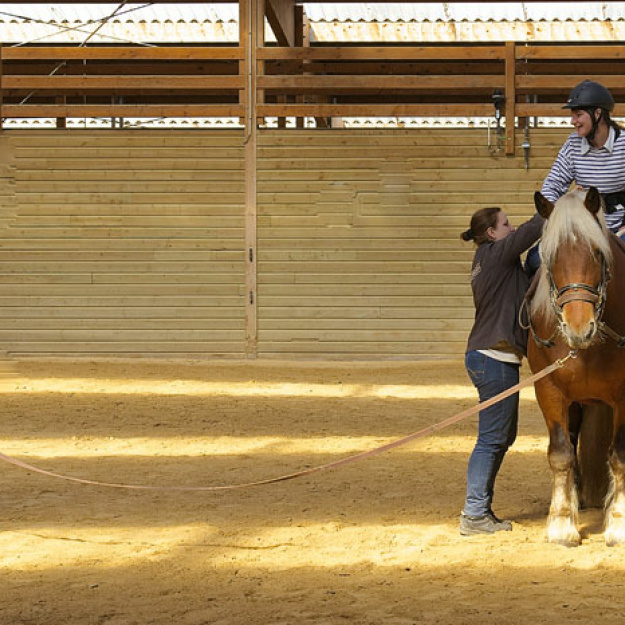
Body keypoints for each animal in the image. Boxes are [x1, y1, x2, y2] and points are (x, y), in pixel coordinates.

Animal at [528, 186, 625, 544]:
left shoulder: (623, 396)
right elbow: (560, 454)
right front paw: (560, 522)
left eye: (598, 254)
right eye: (551, 258)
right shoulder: (549, 390)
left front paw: (618, 522)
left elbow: (619, 456)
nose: (579, 327)